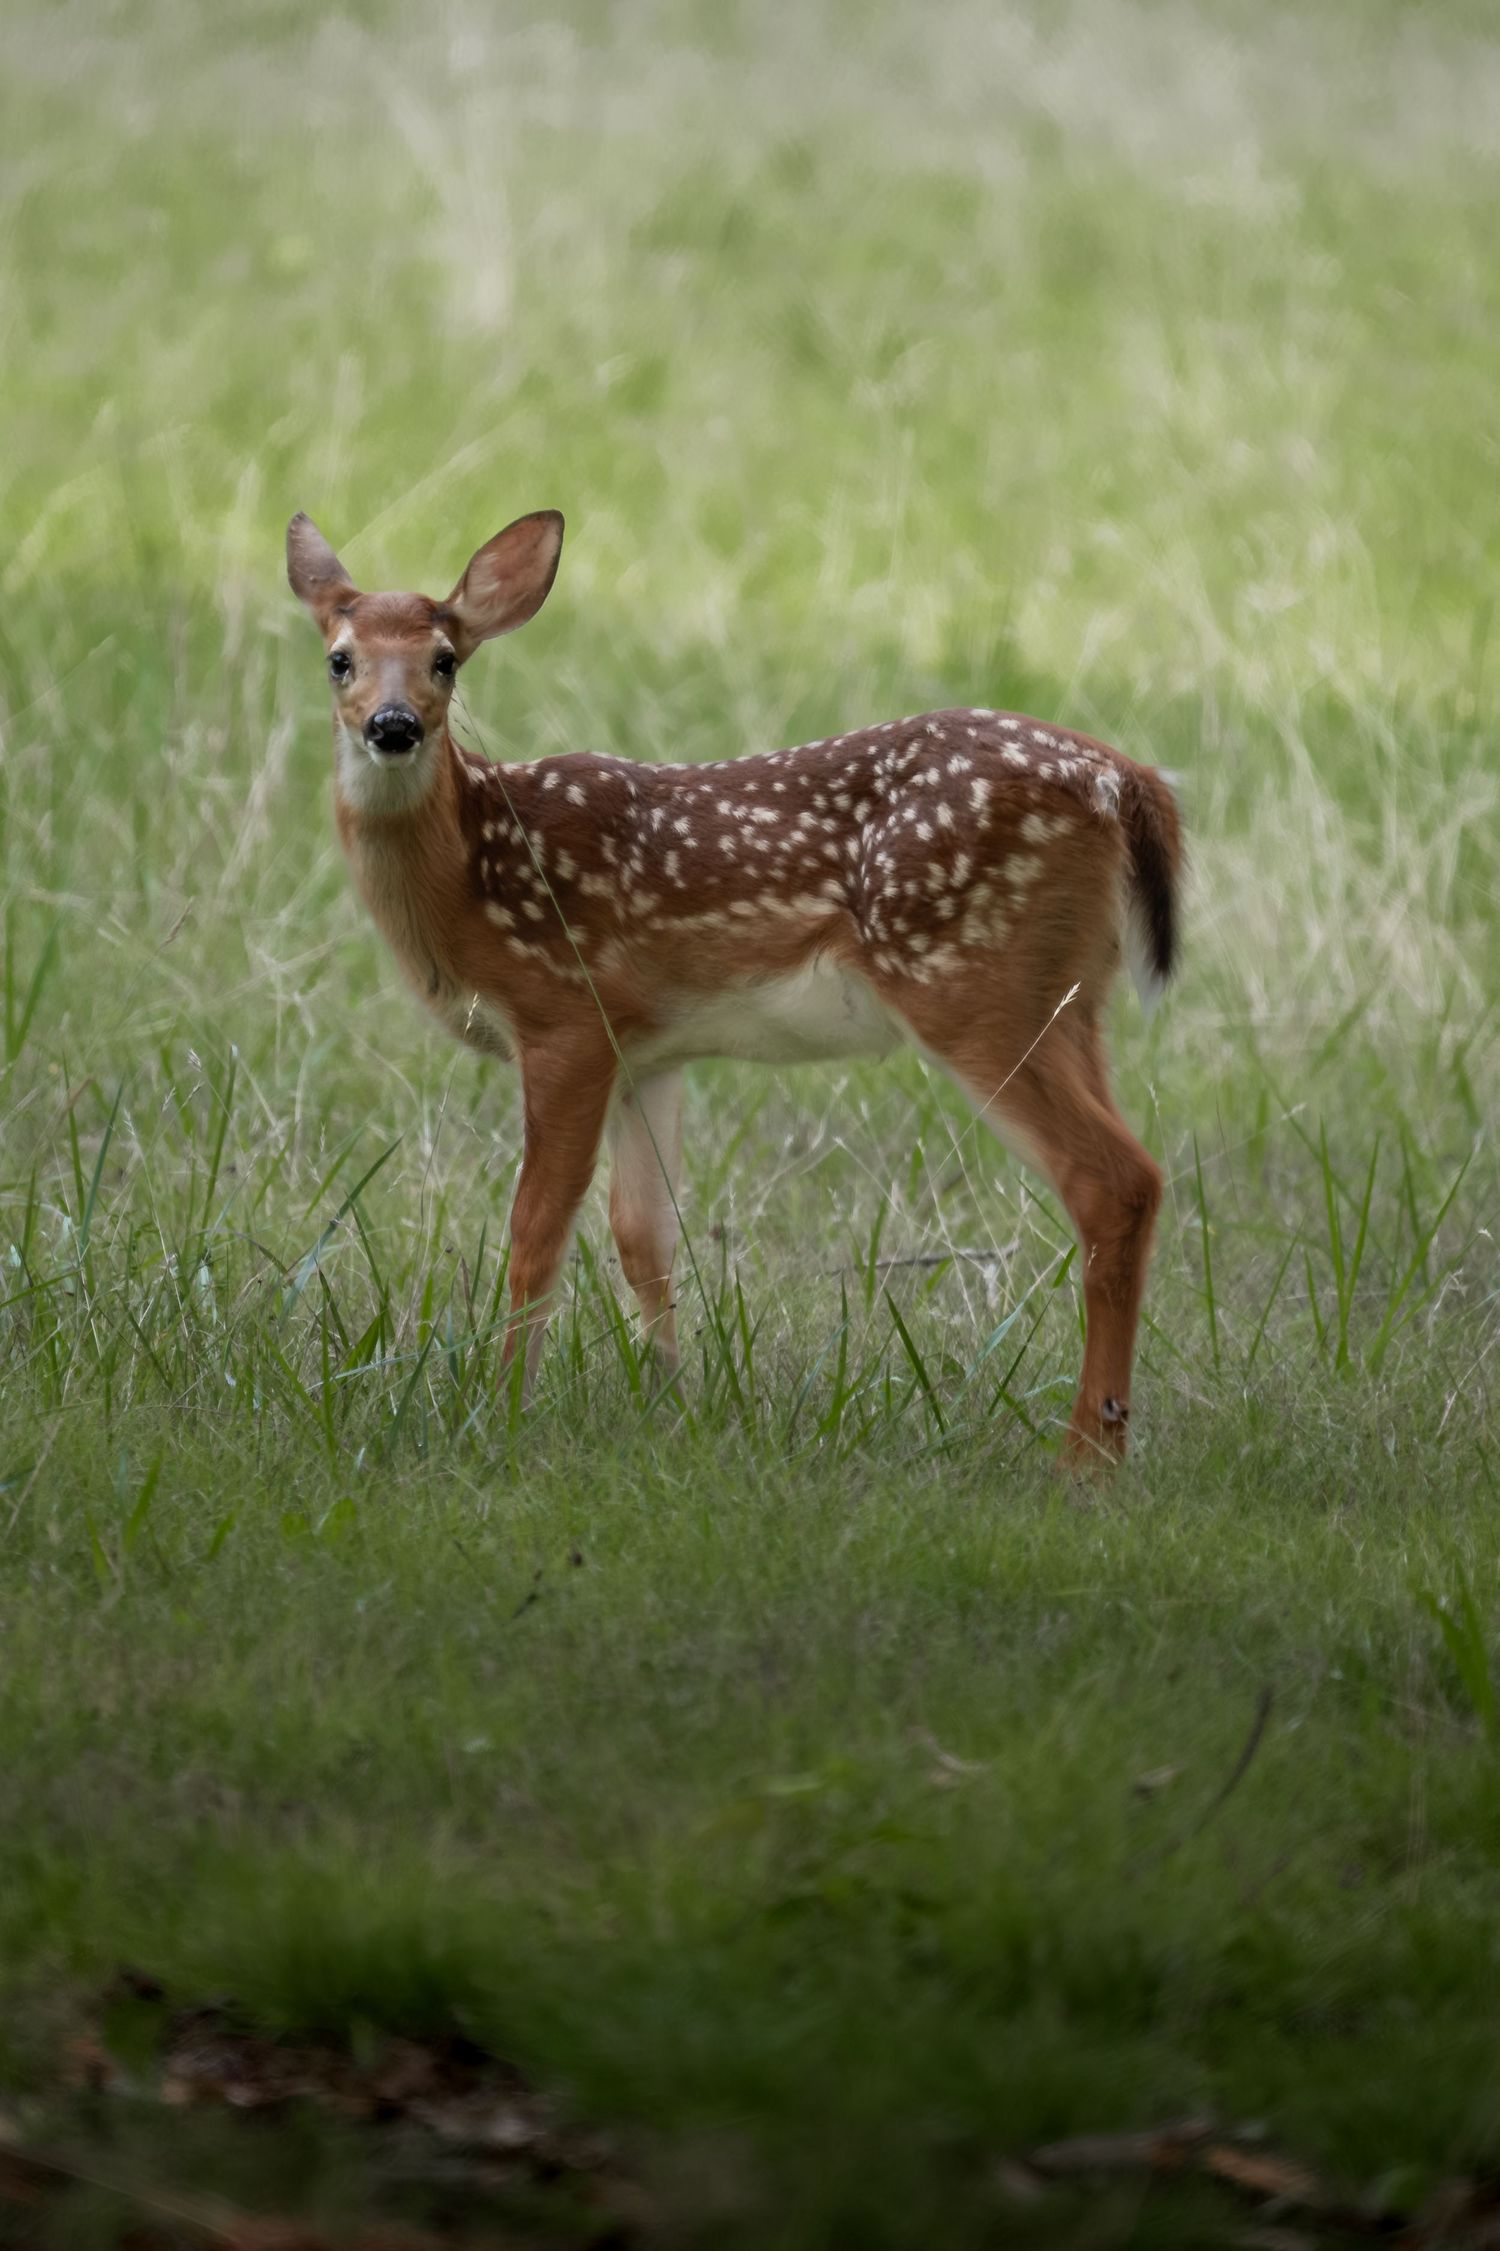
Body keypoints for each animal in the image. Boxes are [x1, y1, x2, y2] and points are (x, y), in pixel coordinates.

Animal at [287, 506, 1181, 1464]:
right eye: (339, 657)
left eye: (444, 659)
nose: (392, 725)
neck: (471, 882)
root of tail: (1129, 782)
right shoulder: (647, 1050)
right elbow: (644, 1235)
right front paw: (672, 1404)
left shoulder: (566, 1014)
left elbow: (538, 1228)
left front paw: (502, 1409)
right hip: (1073, 997)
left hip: (973, 983)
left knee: (1114, 1180)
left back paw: (1086, 1460)